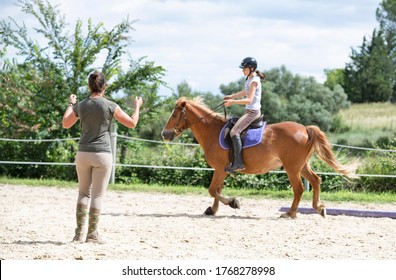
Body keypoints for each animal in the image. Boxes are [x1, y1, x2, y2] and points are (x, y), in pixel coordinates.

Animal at [161, 97, 358, 219]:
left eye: (174, 114)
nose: (164, 134)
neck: (212, 131)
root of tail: (305, 128)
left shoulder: (219, 168)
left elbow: (212, 190)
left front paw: (233, 203)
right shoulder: (222, 170)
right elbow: (217, 190)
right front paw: (213, 209)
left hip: (292, 168)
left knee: (299, 189)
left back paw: (290, 213)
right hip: (301, 166)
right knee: (316, 181)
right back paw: (319, 208)